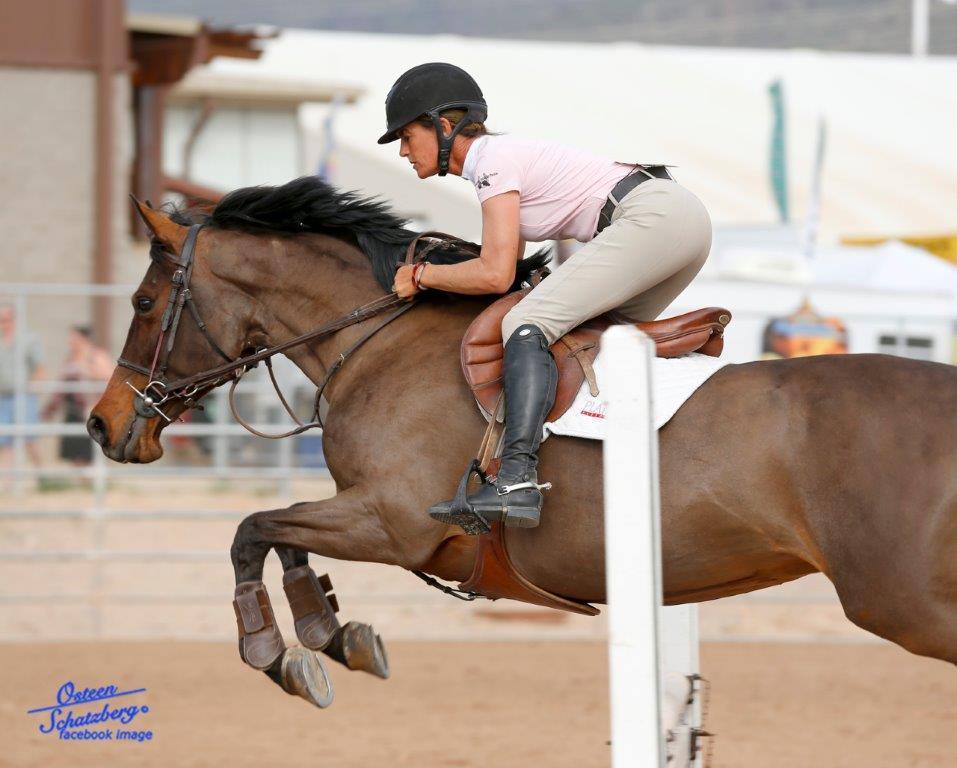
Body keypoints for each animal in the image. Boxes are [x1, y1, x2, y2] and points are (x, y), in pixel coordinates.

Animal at [89, 177, 957, 708]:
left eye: (142, 302)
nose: (102, 424)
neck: (375, 341)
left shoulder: (390, 521)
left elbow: (252, 530)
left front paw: (278, 651)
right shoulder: (370, 518)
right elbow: (278, 539)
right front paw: (333, 636)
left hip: (901, 601)